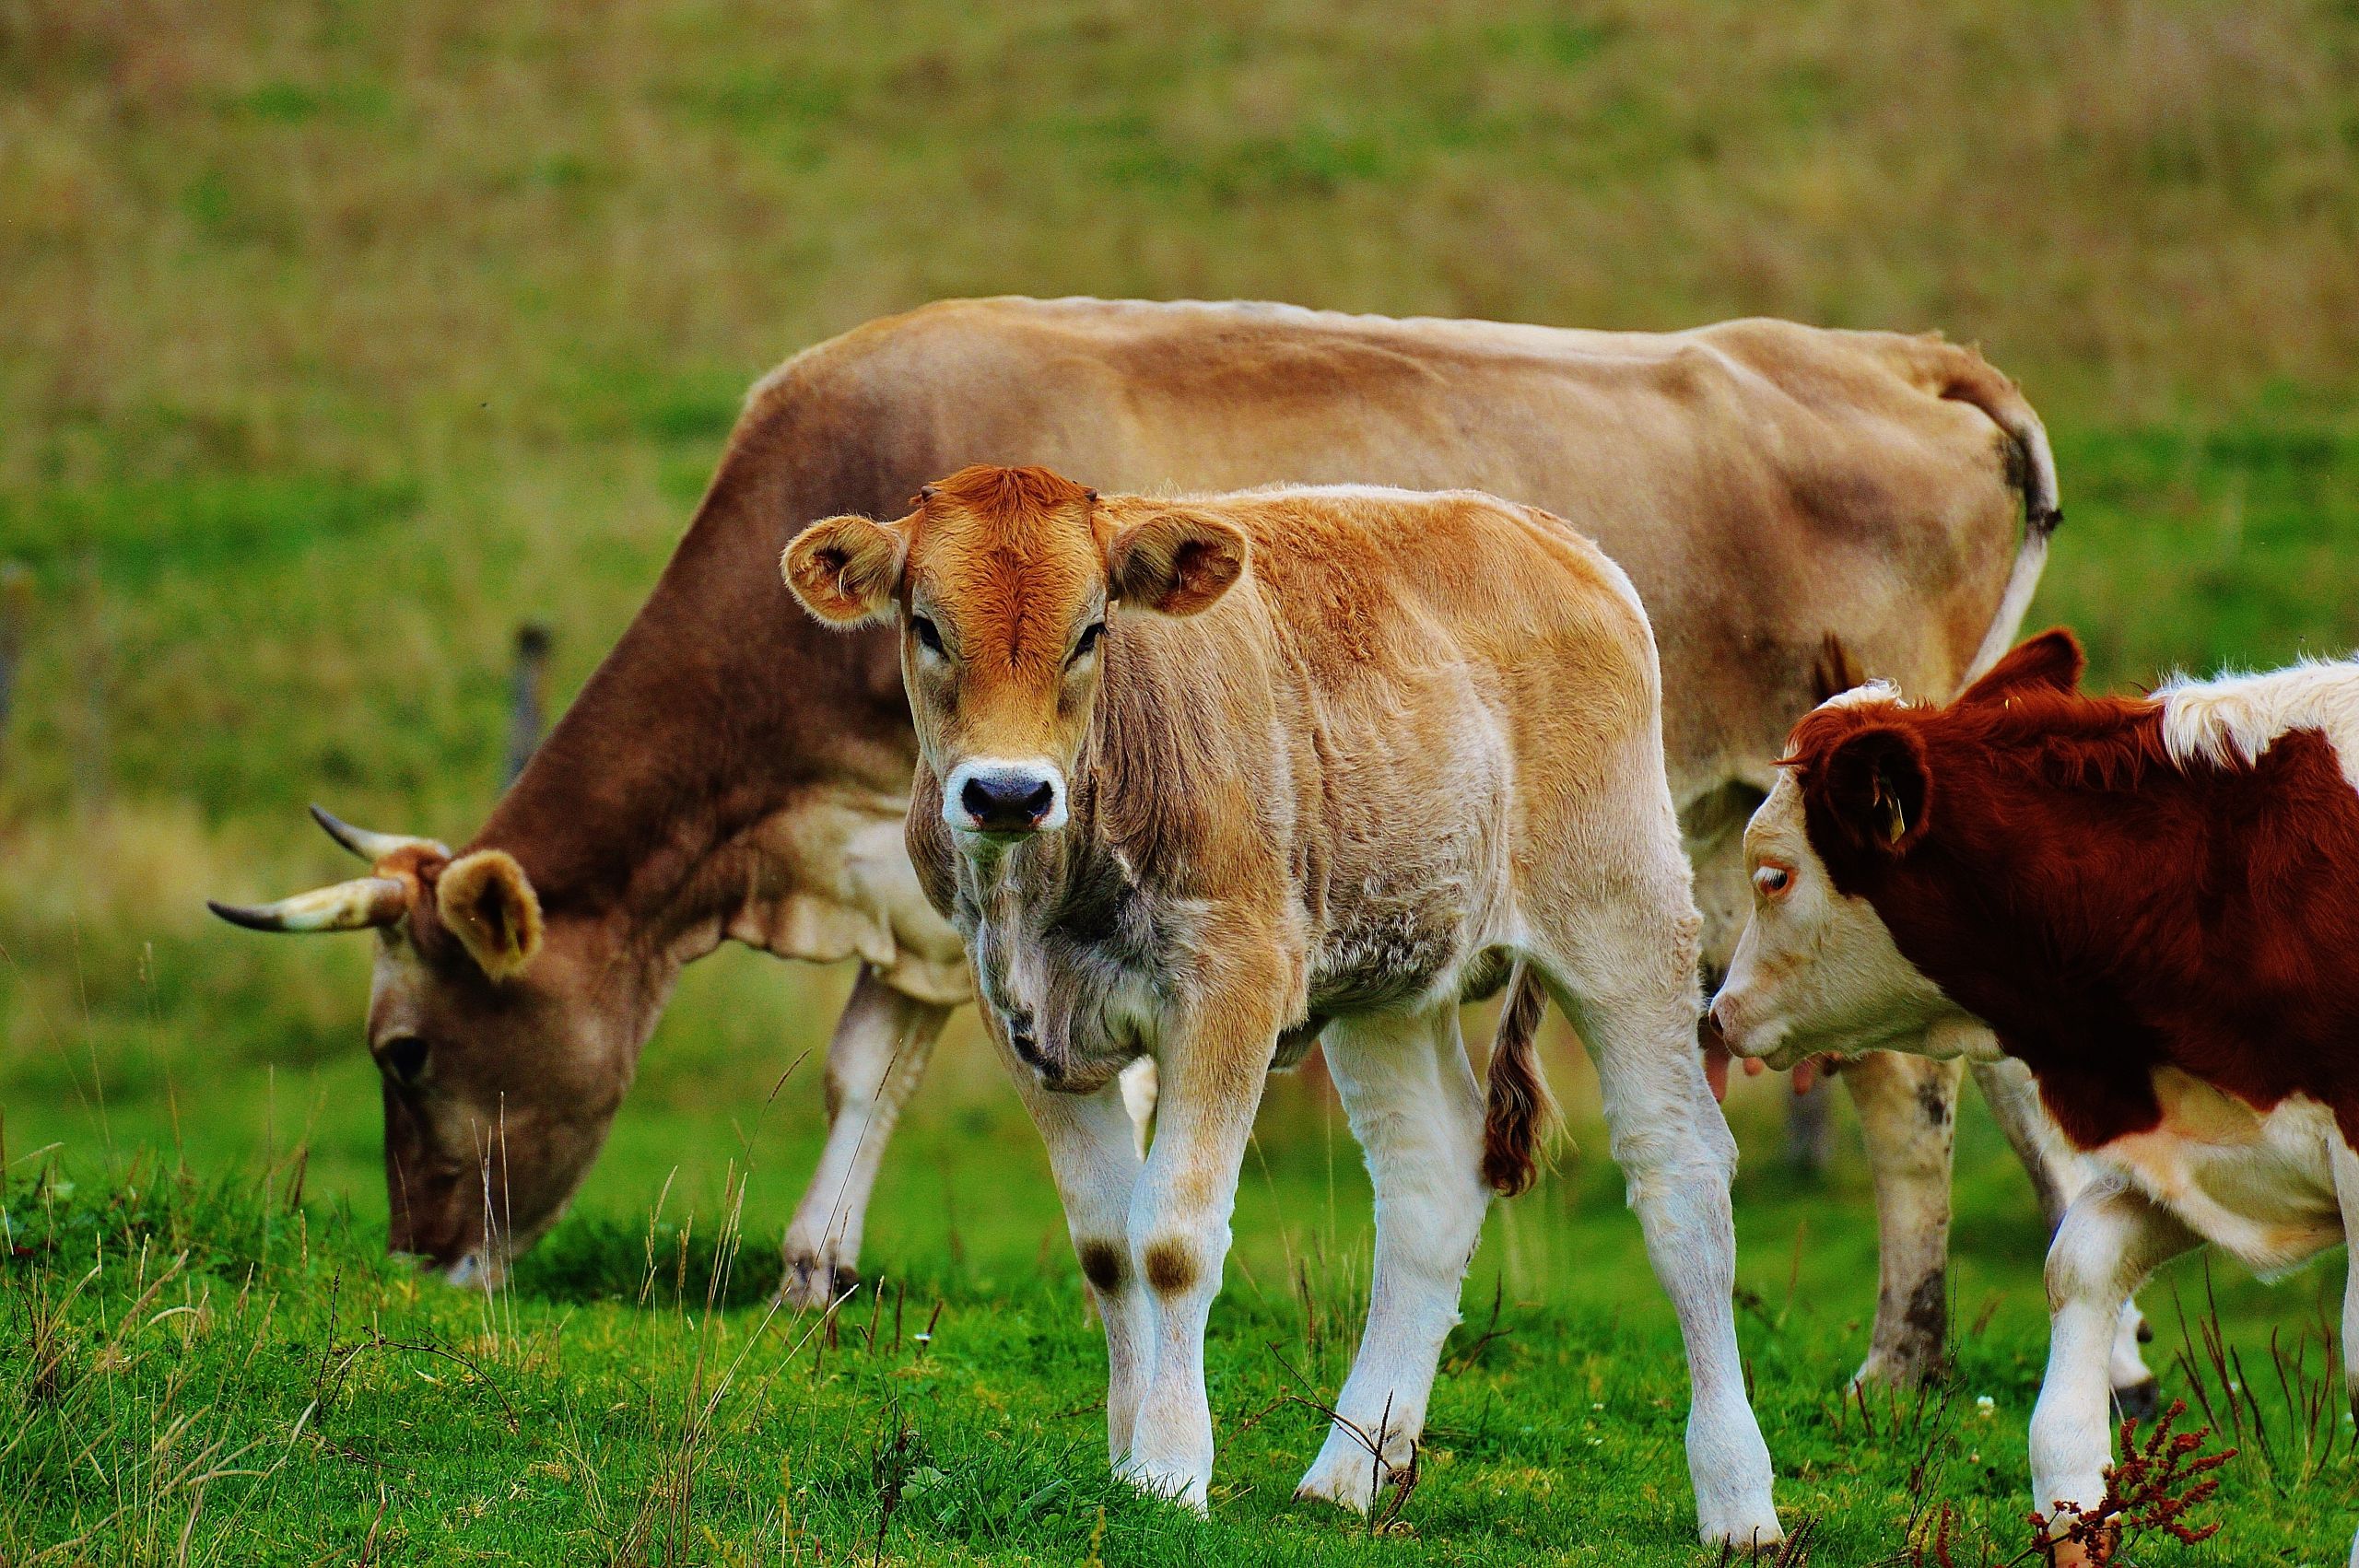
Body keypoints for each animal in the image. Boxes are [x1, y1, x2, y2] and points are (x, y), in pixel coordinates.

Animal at [207, 296, 2145, 1401]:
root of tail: (1893, 353)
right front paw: (814, 1279)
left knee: (1949, 1085)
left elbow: (1028, 1102)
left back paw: (1922, 1360)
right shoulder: (931, 862)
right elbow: (869, 1064)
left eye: (403, 1048)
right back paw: (2092, 1361)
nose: (421, 1260)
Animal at [778, 463, 1782, 1542]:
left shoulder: (1233, 984)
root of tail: (1542, 529)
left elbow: (1171, 1239)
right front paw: (1126, 1451)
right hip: (1392, 978)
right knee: (1431, 1179)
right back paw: (1352, 1467)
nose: (1008, 794)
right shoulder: (1017, 1012)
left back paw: (1738, 1497)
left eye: (1092, 630)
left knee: (1680, 1173)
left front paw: (1169, 1469)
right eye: (927, 625)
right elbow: (1105, 1242)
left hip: (1621, 915)